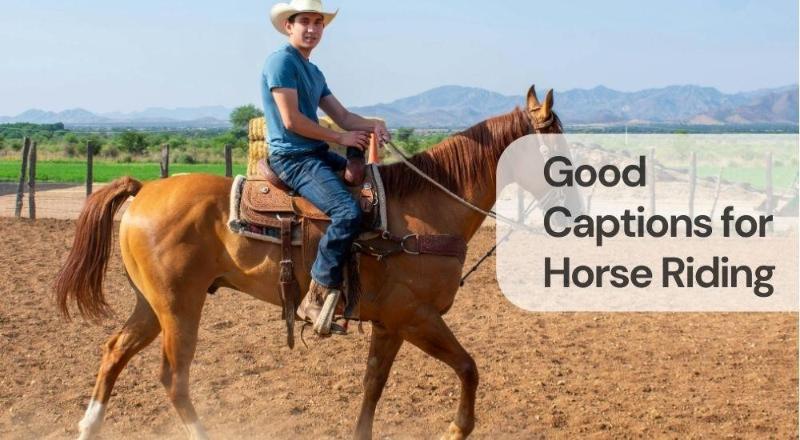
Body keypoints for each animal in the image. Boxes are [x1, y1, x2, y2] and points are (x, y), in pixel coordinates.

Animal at [55, 85, 582, 440]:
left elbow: (373, 385)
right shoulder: (417, 317)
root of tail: (144, 189)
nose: (574, 209)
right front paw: (456, 429)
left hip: (152, 305)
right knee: (173, 378)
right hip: (179, 307)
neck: (425, 211)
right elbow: (469, 368)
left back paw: (88, 426)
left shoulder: (390, 323)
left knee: (114, 351)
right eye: (556, 146)